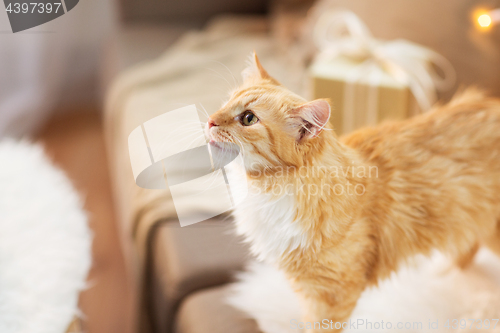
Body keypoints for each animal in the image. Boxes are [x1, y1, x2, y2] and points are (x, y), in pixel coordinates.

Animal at [205, 53, 500, 330]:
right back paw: (443, 273)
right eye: (226, 103)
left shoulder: (332, 293)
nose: (209, 121)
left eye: (248, 118)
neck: (270, 188)